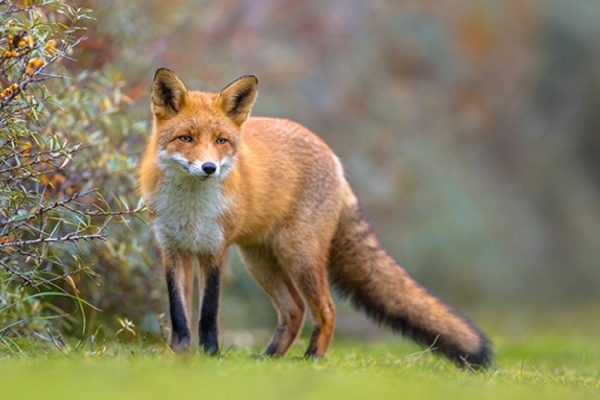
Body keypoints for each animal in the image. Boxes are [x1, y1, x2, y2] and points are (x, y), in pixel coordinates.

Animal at [139, 67, 492, 368]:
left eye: (220, 141)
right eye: (186, 138)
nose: (209, 168)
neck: (190, 210)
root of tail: (331, 155)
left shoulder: (215, 250)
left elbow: (209, 313)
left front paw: (210, 357)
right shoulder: (173, 250)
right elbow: (179, 313)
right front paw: (180, 356)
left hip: (299, 254)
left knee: (326, 308)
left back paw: (312, 360)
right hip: (260, 260)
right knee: (294, 310)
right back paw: (269, 358)